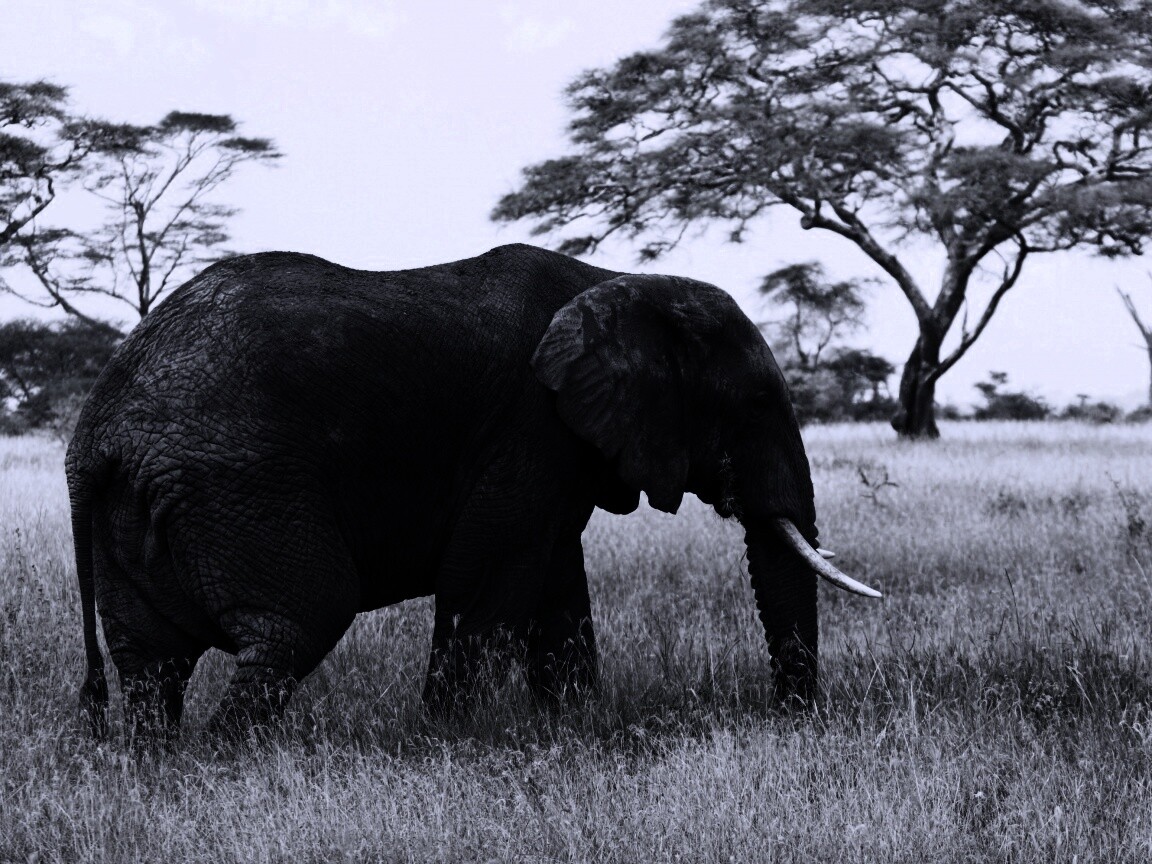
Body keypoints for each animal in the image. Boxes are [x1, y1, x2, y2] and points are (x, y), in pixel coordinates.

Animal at [67, 243, 880, 740]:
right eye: (753, 404)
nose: (791, 720)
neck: (617, 282)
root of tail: (96, 429)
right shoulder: (531, 426)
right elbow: (487, 576)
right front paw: (447, 741)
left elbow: (555, 585)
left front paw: (573, 730)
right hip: (238, 483)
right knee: (297, 621)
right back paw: (227, 765)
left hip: (144, 507)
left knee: (150, 661)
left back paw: (161, 766)